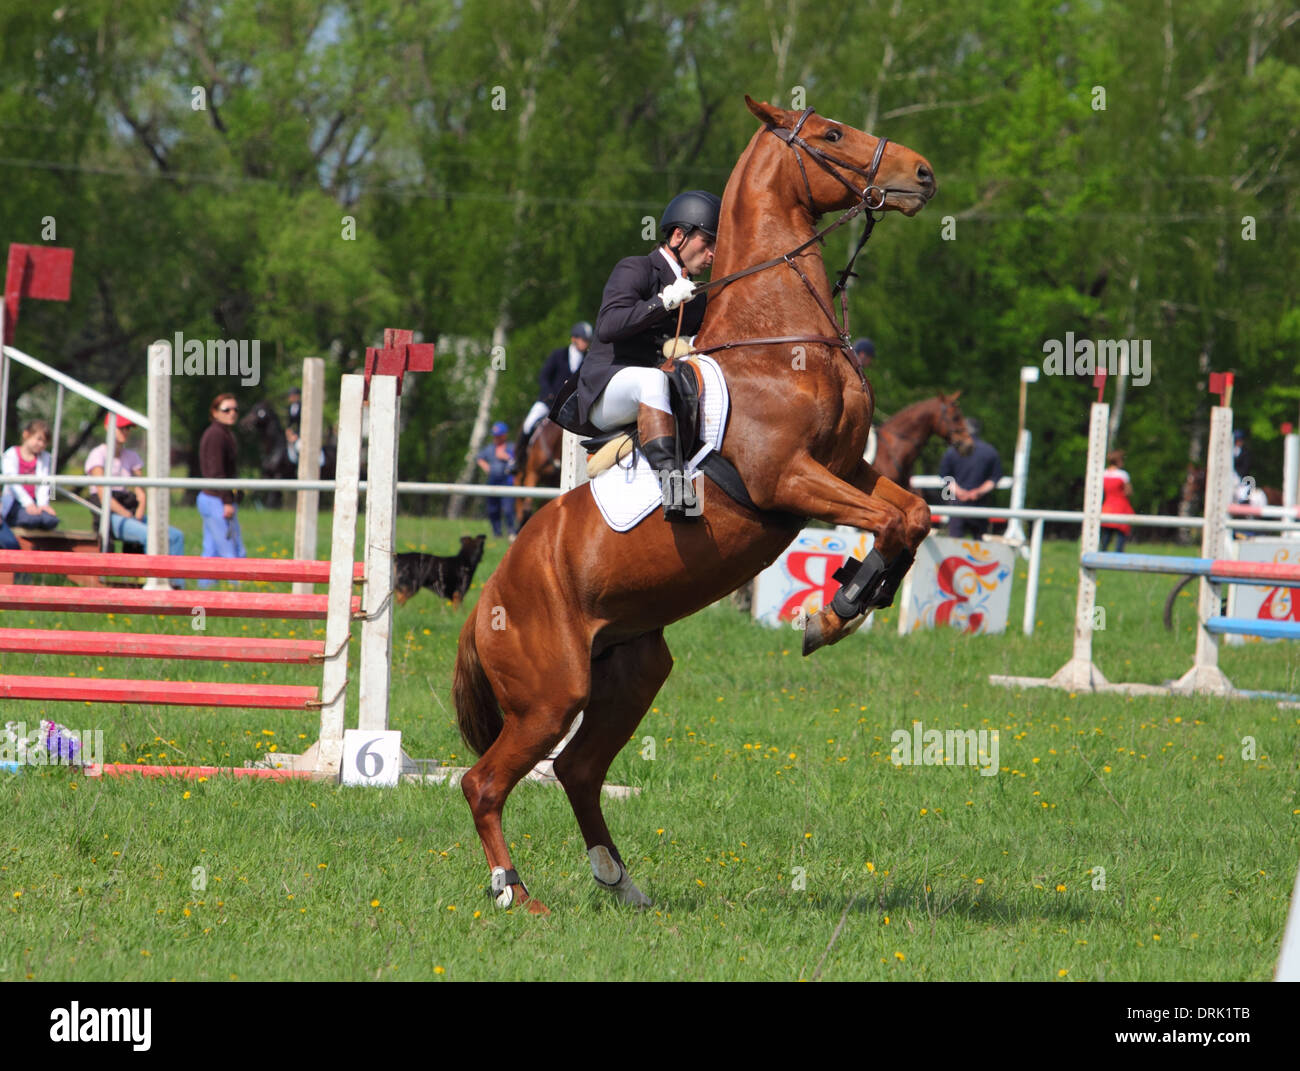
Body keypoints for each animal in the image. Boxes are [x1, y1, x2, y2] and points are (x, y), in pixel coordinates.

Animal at [449, 96, 935, 909]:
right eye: (831, 133)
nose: (923, 173)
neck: (779, 336)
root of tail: (489, 595)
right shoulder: (790, 479)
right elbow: (895, 521)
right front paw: (833, 611)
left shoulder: (847, 468)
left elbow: (915, 517)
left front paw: (851, 598)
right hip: (550, 697)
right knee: (484, 782)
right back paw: (515, 892)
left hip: (633, 670)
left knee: (578, 770)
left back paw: (621, 883)